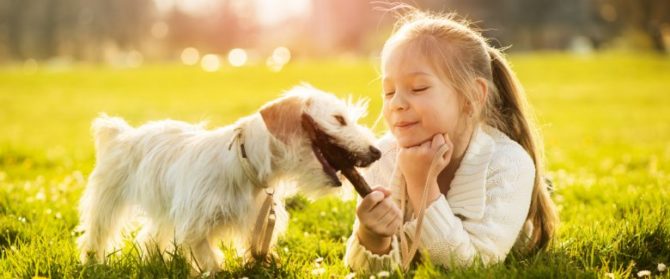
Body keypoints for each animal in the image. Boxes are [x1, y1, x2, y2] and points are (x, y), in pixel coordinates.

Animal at [76, 86, 380, 274]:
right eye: (339, 119)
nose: (377, 152)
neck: (245, 164)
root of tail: (122, 133)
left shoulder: (257, 223)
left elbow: (253, 251)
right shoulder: (195, 225)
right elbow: (209, 258)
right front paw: (217, 270)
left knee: (149, 237)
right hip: (107, 202)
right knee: (96, 234)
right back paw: (92, 263)